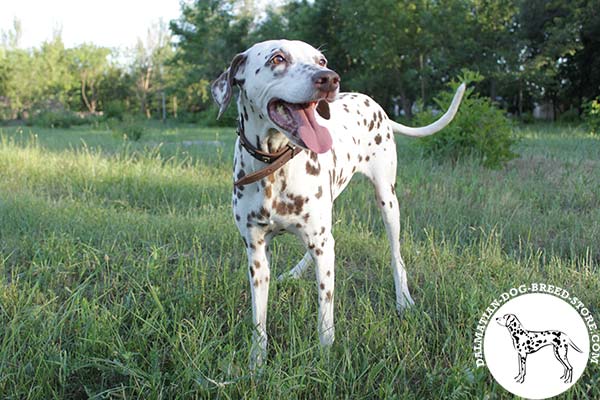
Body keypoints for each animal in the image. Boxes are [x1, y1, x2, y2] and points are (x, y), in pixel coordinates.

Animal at [213, 39, 466, 368]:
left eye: (321, 59)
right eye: (277, 58)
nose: (329, 78)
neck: (275, 167)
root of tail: (377, 106)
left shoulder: (321, 244)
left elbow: (325, 311)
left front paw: (325, 355)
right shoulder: (256, 251)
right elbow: (259, 317)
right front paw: (256, 362)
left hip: (388, 201)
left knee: (395, 256)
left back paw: (404, 300)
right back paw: (294, 273)